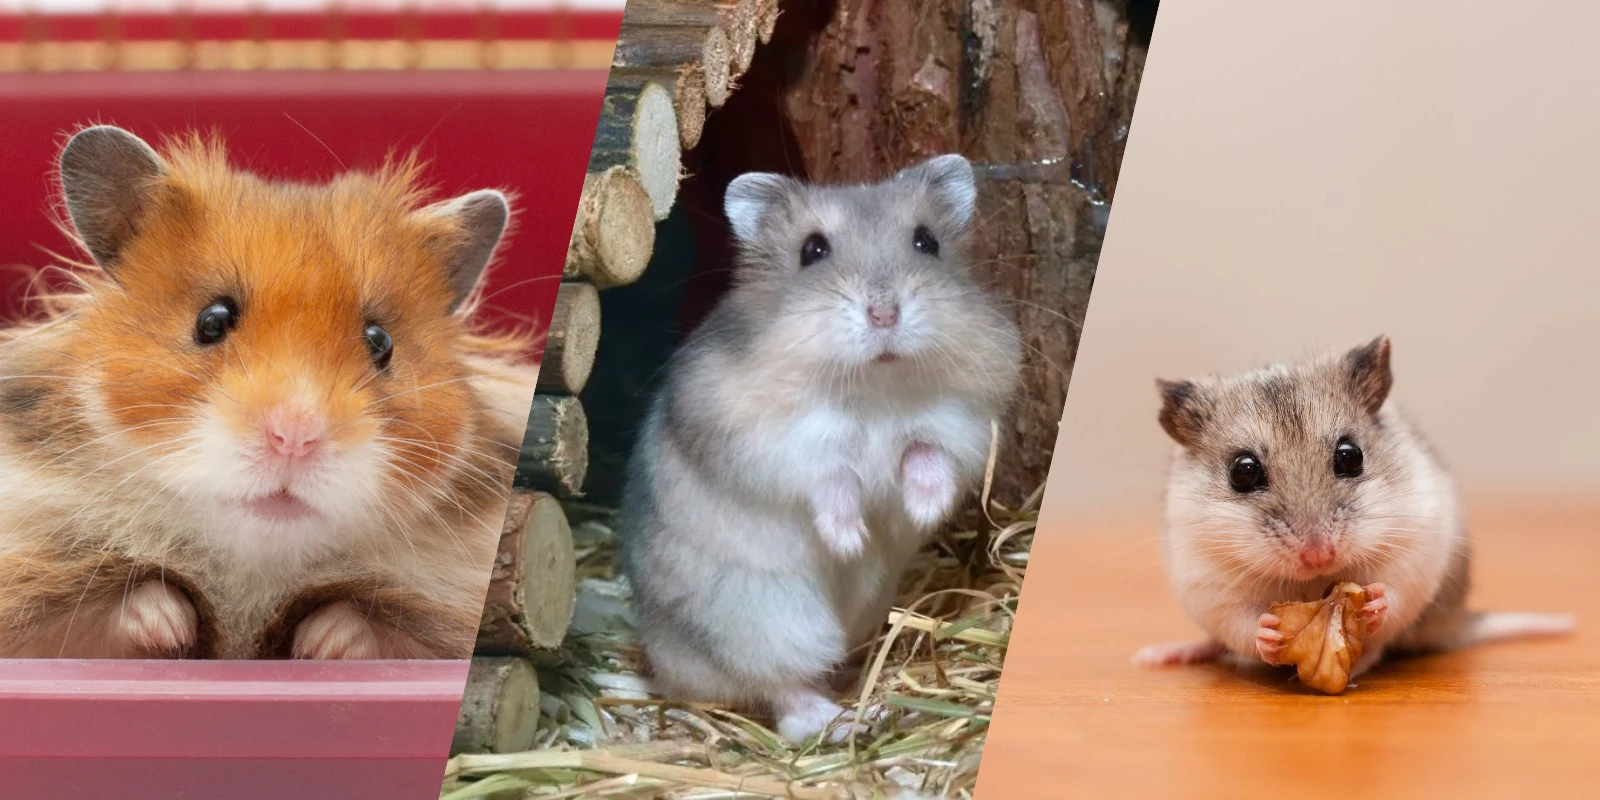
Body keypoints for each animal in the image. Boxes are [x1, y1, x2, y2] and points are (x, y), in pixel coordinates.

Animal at [0, 125, 539, 659]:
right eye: (211, 320)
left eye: (381, 342)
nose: (294, 438)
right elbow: (110, 611)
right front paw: (167, 626)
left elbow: (371, 627)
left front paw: (325, 644)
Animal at [618, 154, 1021, 743]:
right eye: (813, 250)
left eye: (926, 242)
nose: (884, 315)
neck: (873, 388)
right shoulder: (775, 443)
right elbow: (833, 478)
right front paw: (850, 540)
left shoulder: (961, 423)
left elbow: (927, 455)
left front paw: (921, 511)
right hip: (765, 621)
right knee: (781, 691)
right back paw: (841, 719)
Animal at [1134, 336, 1574, 677]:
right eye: (1243, 472)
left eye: (1351, 456)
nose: (1319, 555)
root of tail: (1455, 625)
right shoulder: (1211, 587)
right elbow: (1242, 624)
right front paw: (1269, 631)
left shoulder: (1415, 550)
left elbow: (1394, 594)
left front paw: (1375, 601)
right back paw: (1163, 655)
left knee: (1381, 648)